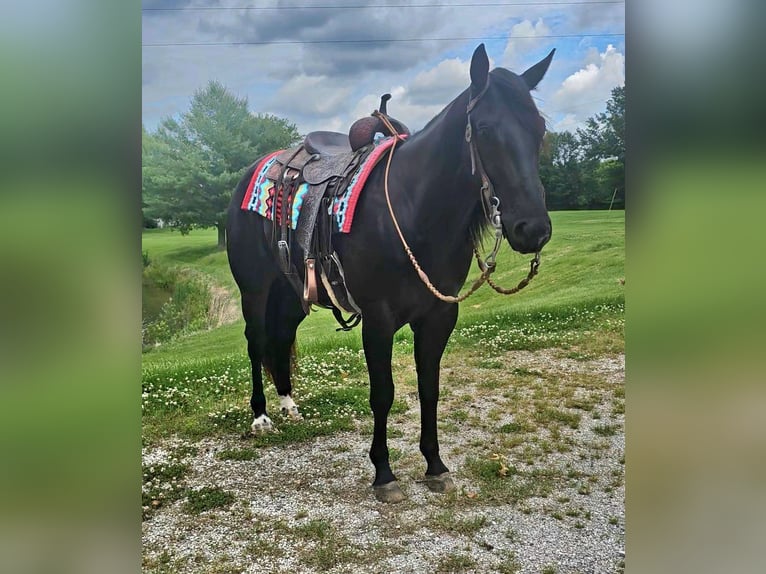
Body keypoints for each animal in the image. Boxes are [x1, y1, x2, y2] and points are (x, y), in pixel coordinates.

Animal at [225, 45, 556, 504]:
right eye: (485, 128)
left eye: (538, 130)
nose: (532, 229)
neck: (413, 209)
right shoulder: (378, 321)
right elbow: (383, 394)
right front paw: (383, 473)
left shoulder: (438, 316)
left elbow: (429, 389)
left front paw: (435, 465)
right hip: (255, 290)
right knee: (257, 341)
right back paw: (260, 416)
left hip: (292, 293)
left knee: (280, 337)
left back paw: (289, 404)